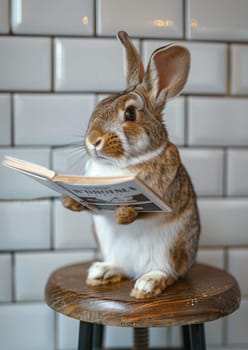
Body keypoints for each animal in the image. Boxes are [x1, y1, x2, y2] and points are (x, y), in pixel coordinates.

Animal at [63, 31, 201, 298]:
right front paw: (70, 202)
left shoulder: (164, 197)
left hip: (171, 250)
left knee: (168, 273)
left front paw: (124, 214)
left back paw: (147, 285)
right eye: (101, 104)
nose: (92, 140)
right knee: (122, 268)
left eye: (130, 114)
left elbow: (147, 211)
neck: (119, 164)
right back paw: (101, 272)